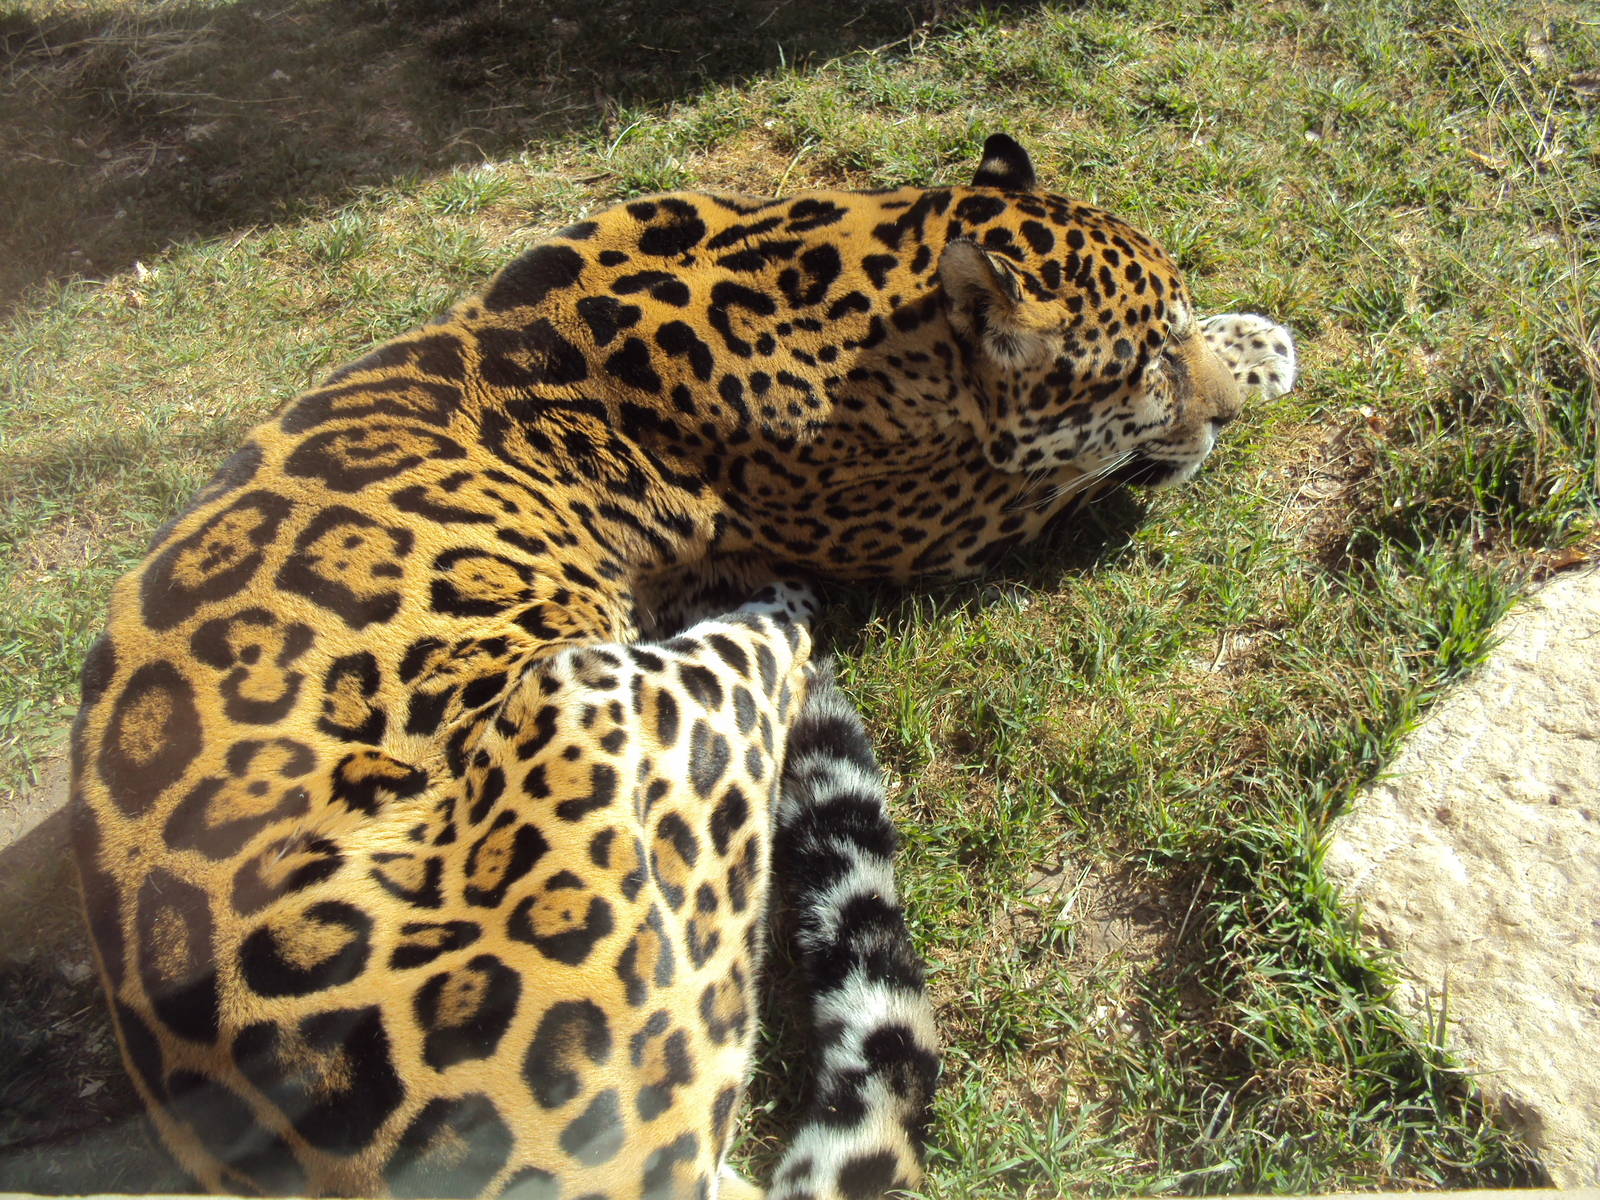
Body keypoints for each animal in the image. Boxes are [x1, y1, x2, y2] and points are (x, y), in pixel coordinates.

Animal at [68, 132, 1297, 1199]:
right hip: (588, 699)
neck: (855, 278)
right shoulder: (938, 518)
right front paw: (1246, 367)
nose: (1221, 412)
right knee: (768, 651)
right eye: (1142, 362)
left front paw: (1243, 339)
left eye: (1168, 330)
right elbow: (1073, 474)